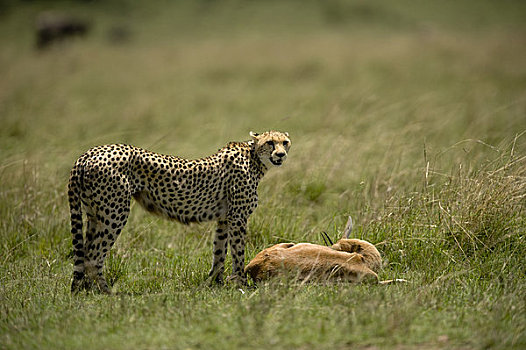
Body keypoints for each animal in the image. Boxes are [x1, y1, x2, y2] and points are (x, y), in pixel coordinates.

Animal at [67, 131, 290, 292]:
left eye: (285, 142)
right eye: (270, 142)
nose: (281, 154)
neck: (254, 159)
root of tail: (90, 153)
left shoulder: (224, 219)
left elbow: (219, 253)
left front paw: (215, 284)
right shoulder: (238, 218)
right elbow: (238, 253)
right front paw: (241, 285)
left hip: (94, 214)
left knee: (85, 252)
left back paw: (85, 290)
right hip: (114, 213)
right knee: (93, 255)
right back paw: (106, 292)